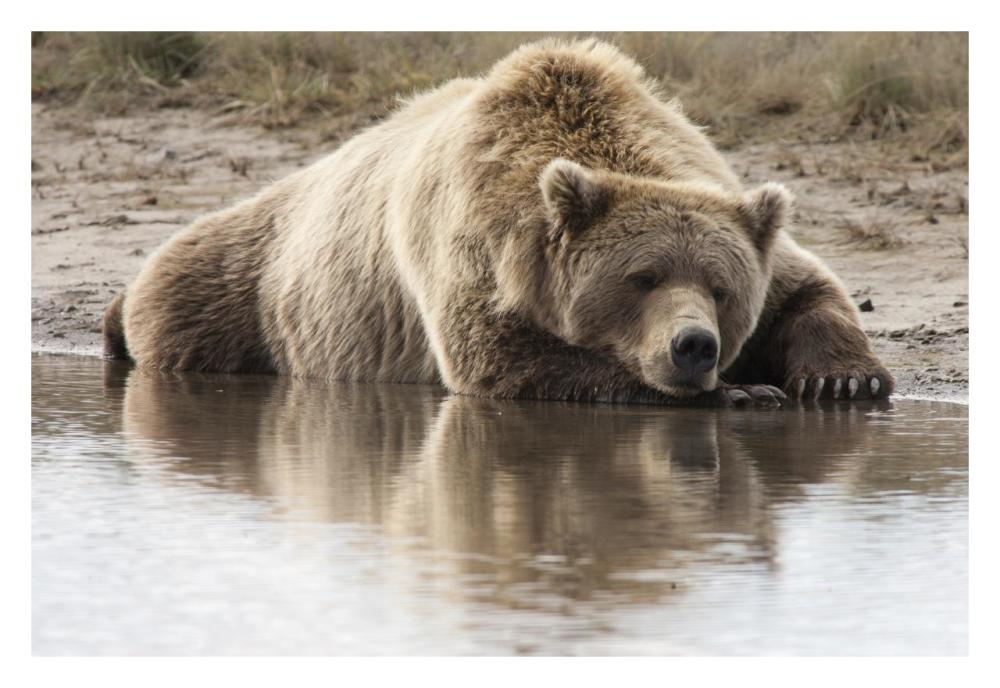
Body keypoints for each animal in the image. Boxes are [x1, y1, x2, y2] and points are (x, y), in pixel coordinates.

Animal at [104, 39, 894, 405]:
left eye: (722, 289)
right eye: (641, 278)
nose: (694, 345)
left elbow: (807, 287)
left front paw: (843, 381)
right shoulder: (476, 247)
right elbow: (507, 360)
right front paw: (743, 391)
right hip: (248, 285)